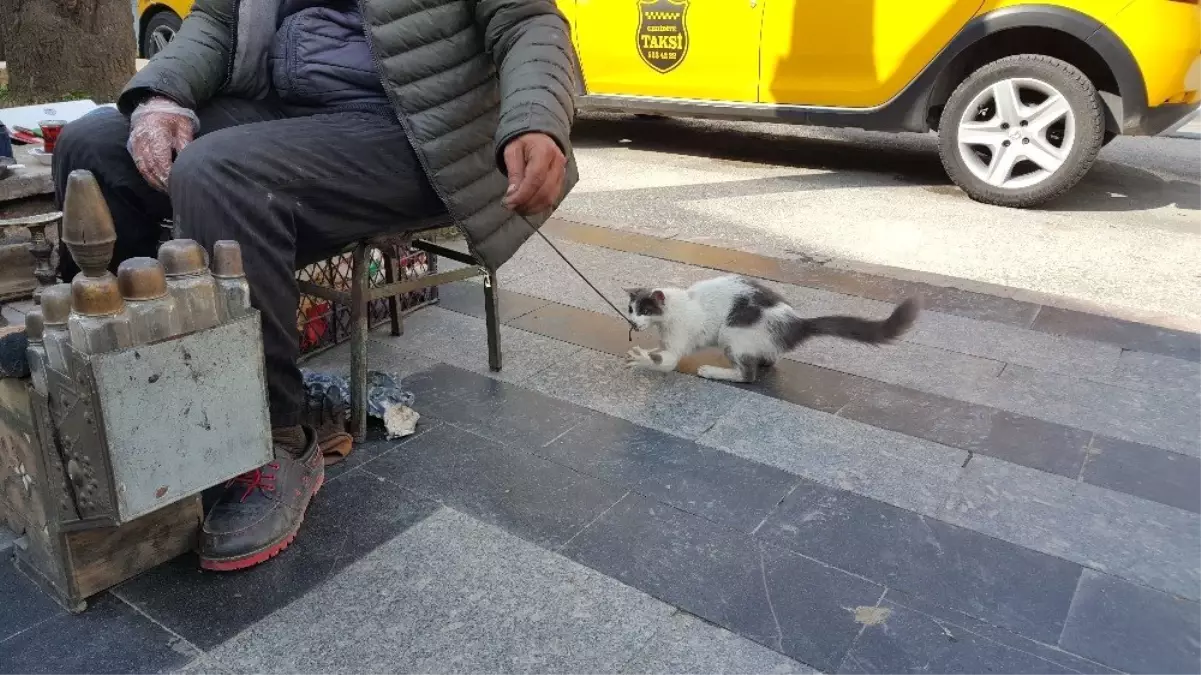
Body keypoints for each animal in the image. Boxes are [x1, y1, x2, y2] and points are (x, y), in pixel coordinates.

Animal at [624, 271, 912, 379]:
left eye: (646, 310)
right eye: (631, 309)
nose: (632, 321)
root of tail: (796, 323)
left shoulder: (679, 338)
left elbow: (668, 361)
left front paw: (642, 359)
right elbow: (660, 351)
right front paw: (647, 353)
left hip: (734, 333)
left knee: (748, 375)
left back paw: (714, 371)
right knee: (768, 360)